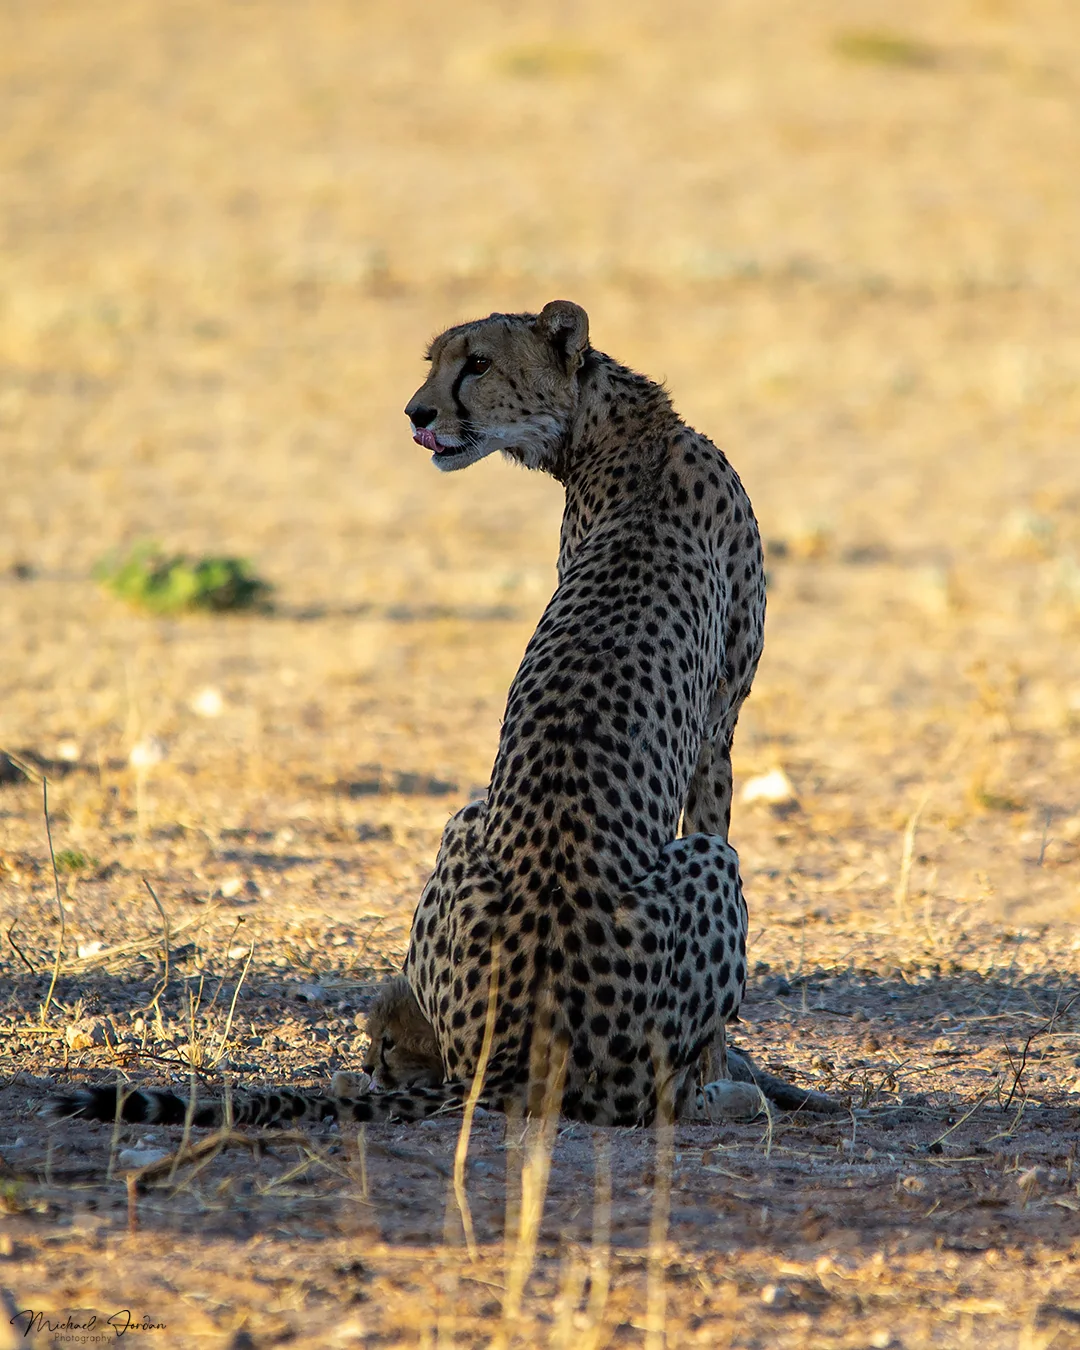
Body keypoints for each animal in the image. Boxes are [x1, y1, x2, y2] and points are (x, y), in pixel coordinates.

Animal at [52, 300, 833, 1133]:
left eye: (478, 362)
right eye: (437, 361)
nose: (416, 413)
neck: (621, 426)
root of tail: (508, 1061)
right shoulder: (720, 728)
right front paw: (728, 1067)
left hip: (464, 830)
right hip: (665, 865)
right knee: (656, 1088)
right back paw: (730, 1094)